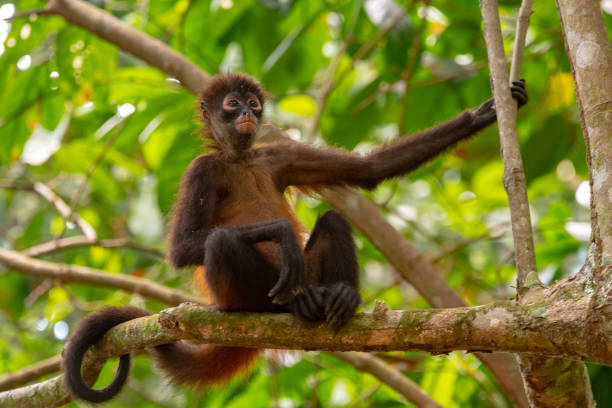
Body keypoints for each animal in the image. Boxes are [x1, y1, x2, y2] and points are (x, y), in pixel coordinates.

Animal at [63, 72, 532, 402]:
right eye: (231, 104)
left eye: (253, 103)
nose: (247, 113)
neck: (240, 158)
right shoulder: (201, 168)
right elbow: (182, 250)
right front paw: (281, 232)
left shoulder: (276, 155)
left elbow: (370, 170)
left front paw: (486, 112)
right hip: (236, 298)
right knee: (221, 244)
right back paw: (292, 304)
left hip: (311, 272)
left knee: (334, 220)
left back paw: (339, 297)